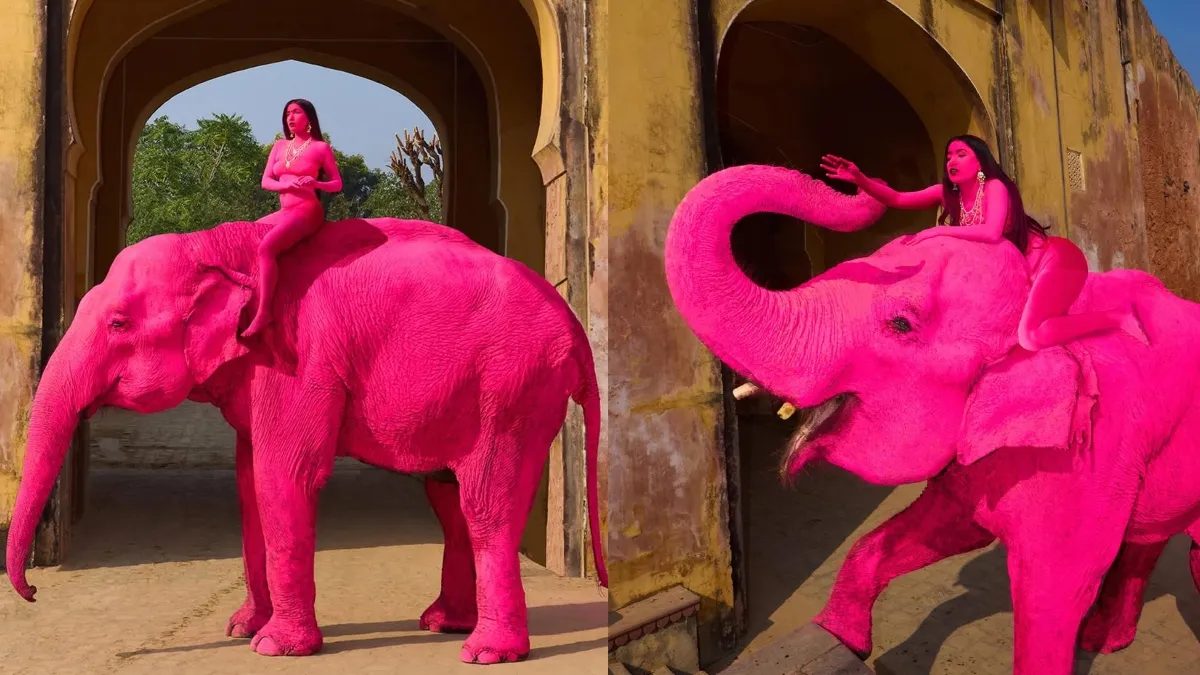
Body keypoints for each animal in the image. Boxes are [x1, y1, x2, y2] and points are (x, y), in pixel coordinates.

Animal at [6, 216, 607, 663]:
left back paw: (485, 653)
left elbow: (284, 475)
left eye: (118, 324)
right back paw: (443, 625)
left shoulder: (297, 359)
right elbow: (249, 483)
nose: (33, 591)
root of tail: (576, 327)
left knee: (486, 502)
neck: (221, 245)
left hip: (513, 388)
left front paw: (272, 646)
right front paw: (239, 629)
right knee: (448, 497)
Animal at [663, 163, 1200, 675]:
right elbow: (936, 529)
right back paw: (1105, 641)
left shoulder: (1089, 451)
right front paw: (839, 641)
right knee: (1148, 539)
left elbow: (1055, 591)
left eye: (901, 323)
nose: (855, 180)